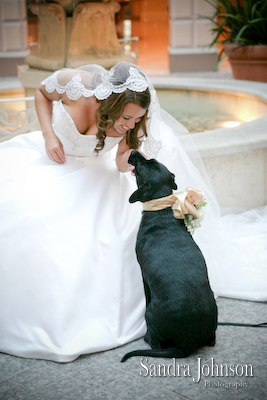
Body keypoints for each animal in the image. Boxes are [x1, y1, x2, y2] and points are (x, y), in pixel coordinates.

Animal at [121, 150, 218, 362]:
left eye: (141, 166)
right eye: (151, 160)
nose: (133, 151)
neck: (161, 209)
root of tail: (186, 344)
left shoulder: (143, 275)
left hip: (150, 314)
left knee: (156, 342)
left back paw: (147, 338)